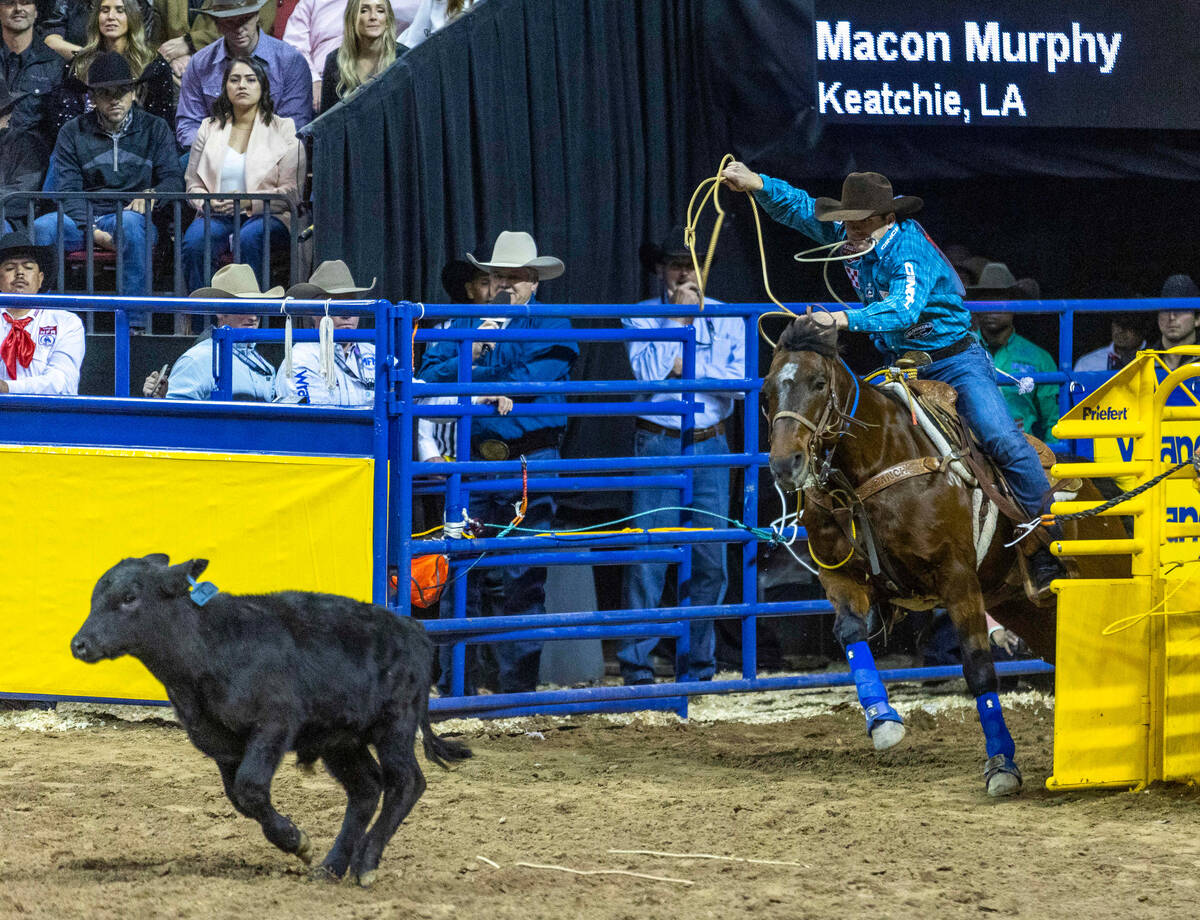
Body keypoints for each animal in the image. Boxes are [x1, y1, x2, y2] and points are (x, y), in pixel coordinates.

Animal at [763, 314, 1128, 791]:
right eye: (768, 390)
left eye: (819, 382)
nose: (784, 465)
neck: (872, 466)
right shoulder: (839, 576)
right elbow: (850, 633)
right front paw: (882, 721)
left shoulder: (957, 577)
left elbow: (978, 668)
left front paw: (1002, 765)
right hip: (1028, 608)